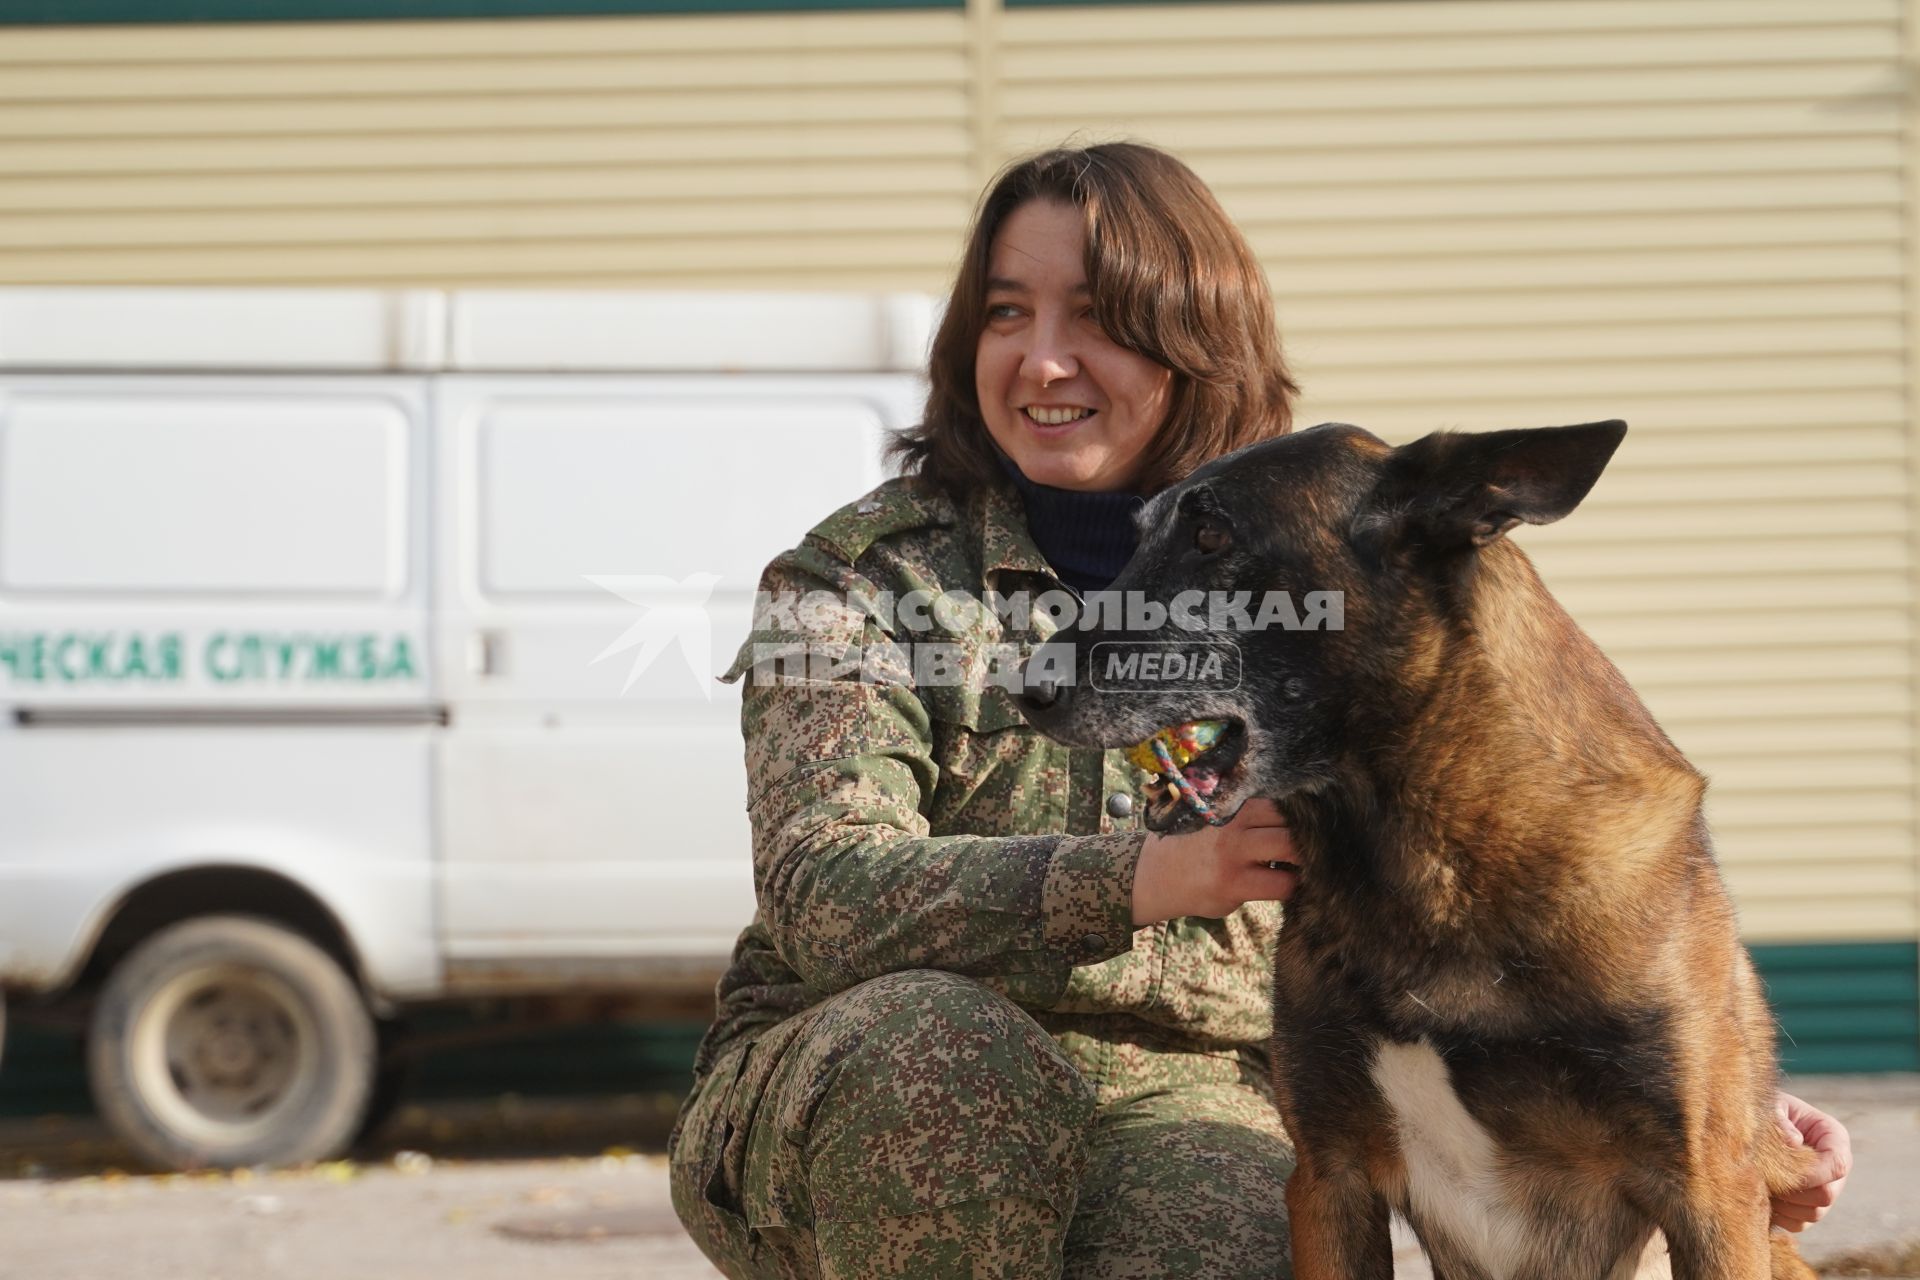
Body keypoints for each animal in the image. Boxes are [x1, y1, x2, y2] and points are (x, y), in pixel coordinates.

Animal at [1021, 422, 1812, 1280]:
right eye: (1139, 538)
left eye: (1211, 535)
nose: (1024, 686)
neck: (1427, 875)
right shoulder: (1328, 1177)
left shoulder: (1707, 1193)